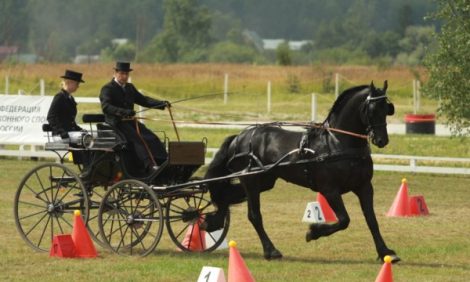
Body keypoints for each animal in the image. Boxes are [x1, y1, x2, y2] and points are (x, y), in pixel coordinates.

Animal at [202, 81, 400, 262]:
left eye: (387, 109)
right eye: (371, 110)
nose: (382, 140)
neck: (337, 142)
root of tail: (239, 137)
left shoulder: (364, 187)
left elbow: (371, 220)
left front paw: (385, 252)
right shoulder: (330, 190)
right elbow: (344, 220)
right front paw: (313, 232)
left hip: (264, 181)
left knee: (226, 197)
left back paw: (211, 221)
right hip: (251, 181)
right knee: (254, 215)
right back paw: (271, 250)